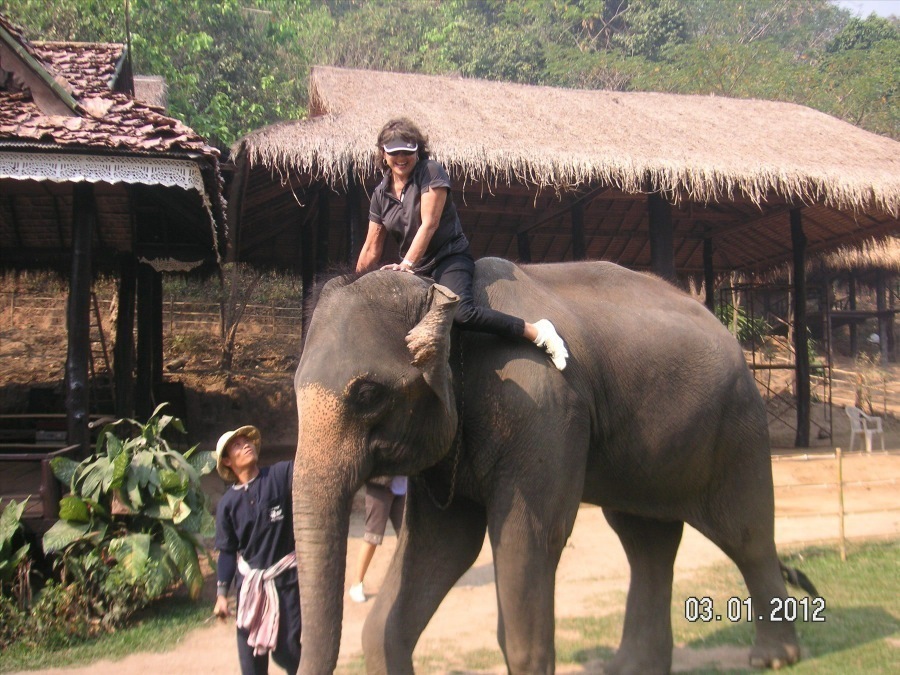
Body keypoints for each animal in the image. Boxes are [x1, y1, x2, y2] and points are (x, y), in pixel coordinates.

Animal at [292, 258, 812, 675]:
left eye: (367, 394)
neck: (443, 297)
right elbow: (443, 545)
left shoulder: (542, 409)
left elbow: (531, 535)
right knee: (645, 540)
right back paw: (629, 668)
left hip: (738, 427)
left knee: (745, 533)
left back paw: (773, 658)